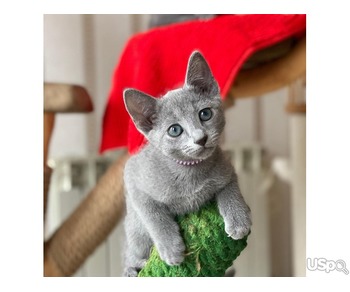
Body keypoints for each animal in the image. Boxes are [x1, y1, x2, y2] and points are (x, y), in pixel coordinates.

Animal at [121, 51, 250, 278]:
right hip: (135, 231)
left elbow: (230, 188)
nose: (201, 138)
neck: (190, 171)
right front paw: (171, 249)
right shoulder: (133, 179)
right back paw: (132, 268)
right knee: (130, 250)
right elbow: (155, 217)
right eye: (175, 130)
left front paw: (239, 219)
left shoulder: (227, 168)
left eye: (205, 114)